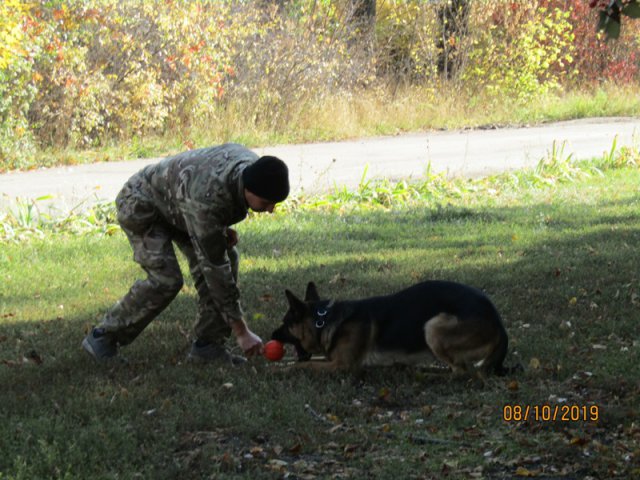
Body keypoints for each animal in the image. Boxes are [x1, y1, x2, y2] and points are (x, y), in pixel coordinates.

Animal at [272, 280, 510, 376]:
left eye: (284, 323)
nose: (271, 334)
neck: (324, 320)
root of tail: (498, 322)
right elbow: (304, 361)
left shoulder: (343, 366)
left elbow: (305, 365)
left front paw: (283, 369)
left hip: (432, 326)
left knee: (461, 372)